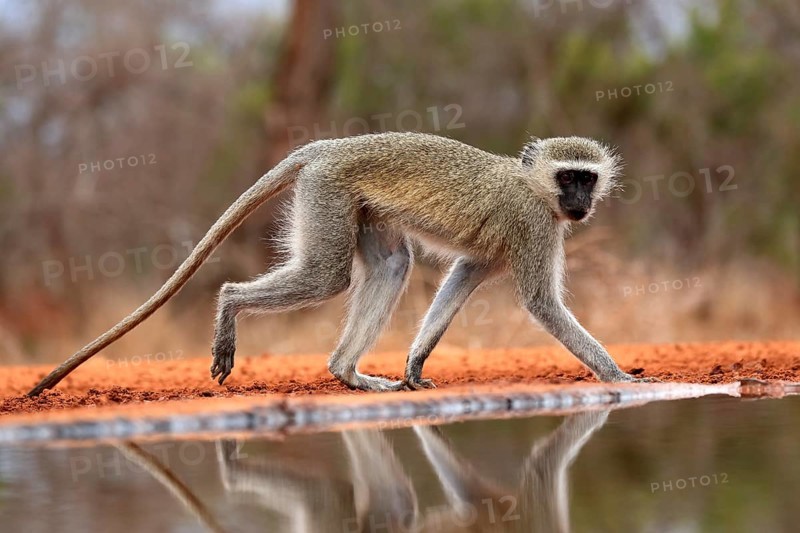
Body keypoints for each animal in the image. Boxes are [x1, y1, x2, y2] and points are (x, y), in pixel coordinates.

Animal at [28, 131, 642, 397]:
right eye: (569, 177)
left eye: (587, 178)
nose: (580, 203)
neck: (534, 186)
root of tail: (327, 146)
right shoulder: (534, 226)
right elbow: (542, 304)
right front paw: (617, 374)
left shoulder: (501, 244)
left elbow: (462, 278)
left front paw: (415, 363)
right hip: (326, 192)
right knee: (325, 277)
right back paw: (230, 305)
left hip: (355, 203)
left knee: (391, 266)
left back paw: (346, 372)